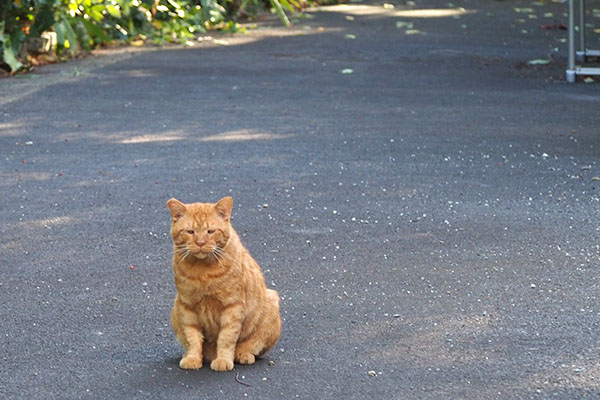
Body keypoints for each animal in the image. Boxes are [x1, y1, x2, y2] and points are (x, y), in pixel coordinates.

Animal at [168, 197, 282, 372]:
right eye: (190, 232)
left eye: (210, 231)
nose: (200, 242)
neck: (203, 271)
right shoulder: (187, 306)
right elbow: (192, 337)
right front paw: (193, 358)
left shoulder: (232, 306)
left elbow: (226, 338)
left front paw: (223, 360)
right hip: (176, 309)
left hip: (271, 302)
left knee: (252, 347)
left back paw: (243, 355)